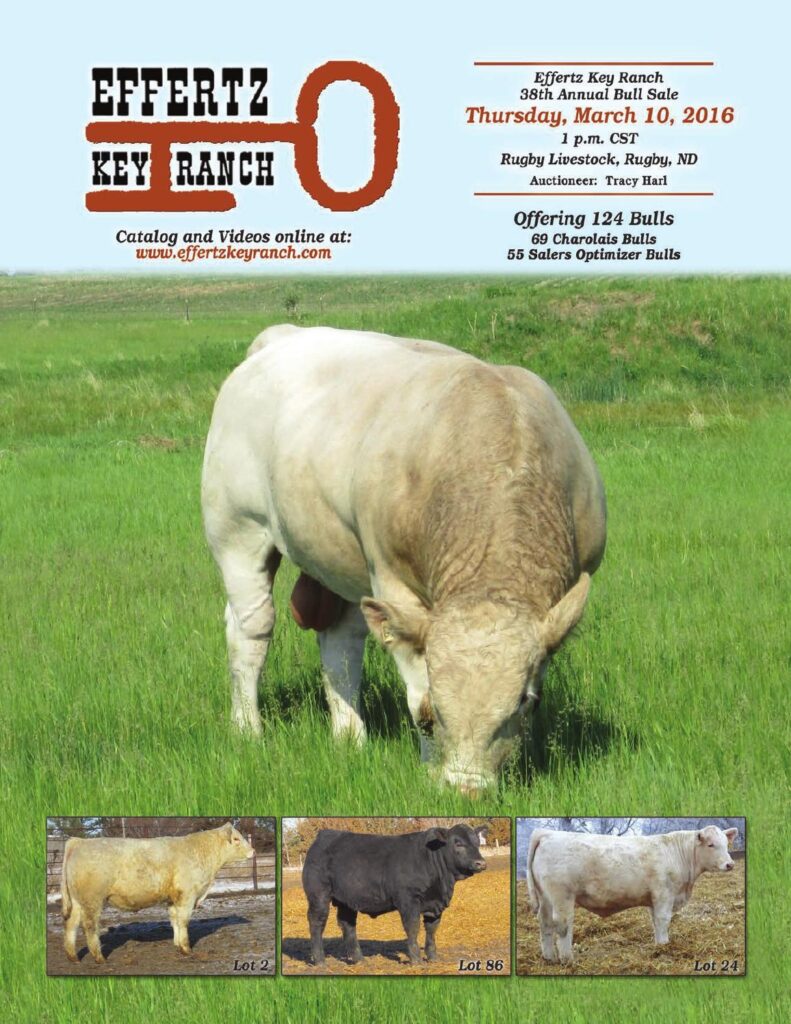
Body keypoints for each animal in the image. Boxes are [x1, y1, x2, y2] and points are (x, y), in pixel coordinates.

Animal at [61, 822, 254, 963]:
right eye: (236, 839)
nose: (253, 851)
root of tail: (79, 841)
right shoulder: (187, 895)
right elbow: (183, 921)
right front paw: (186, 949)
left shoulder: (173, 898)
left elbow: (174, 920)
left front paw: (177, 944)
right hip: (92, 900)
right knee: (90, 927)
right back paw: (99, 958)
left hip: (77, 901)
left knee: (71, 924)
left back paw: (73, 957)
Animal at [201, 325, 606, 791]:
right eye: (441, 710)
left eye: (527, 702)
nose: (466, 789)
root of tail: (281, 336)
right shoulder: (392, 581)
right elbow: (419, 699)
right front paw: (431, 768)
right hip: (237, 530)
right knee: (251, 629)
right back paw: (248, 728)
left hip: (337, 559)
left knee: (340, 640)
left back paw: (350, 737)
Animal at [302, 823, 488, 965]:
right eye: (458, 843)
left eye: (477, 843)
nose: (481, 863)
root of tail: (324, 834)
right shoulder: (408, 900)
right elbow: (413, 927)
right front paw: (416, 960)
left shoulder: (435, 905)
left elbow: (431, 930)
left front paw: (433, 958)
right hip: (318, 895)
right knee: (317, 922)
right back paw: (320, 960)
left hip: (347, 899)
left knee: (347, 924)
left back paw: (359, 960)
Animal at [526, 825, 739, 963]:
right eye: (711, 845)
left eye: (726, 844)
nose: (730, 864)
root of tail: (547, 834)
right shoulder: (664, 894)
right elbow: (663, 920)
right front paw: (665, 945)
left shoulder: (654, 899)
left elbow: (655, 922)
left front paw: (659, 946)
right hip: (562, 896)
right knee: (562, 924)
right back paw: (567, 959)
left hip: (545, 898)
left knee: (545, 923)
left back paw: (549, 957)